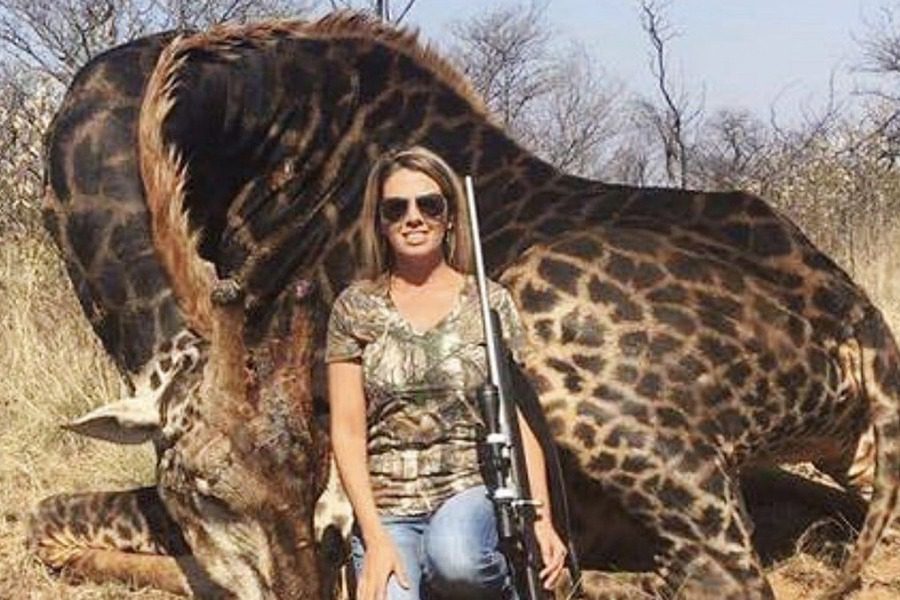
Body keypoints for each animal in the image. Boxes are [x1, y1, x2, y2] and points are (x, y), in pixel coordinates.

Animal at [31, 12, 898, 599]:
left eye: (309, 477)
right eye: (205, 488)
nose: (308, 585)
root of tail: (860, 331)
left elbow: (49, 516)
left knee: (718, 575)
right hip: (836, 456)